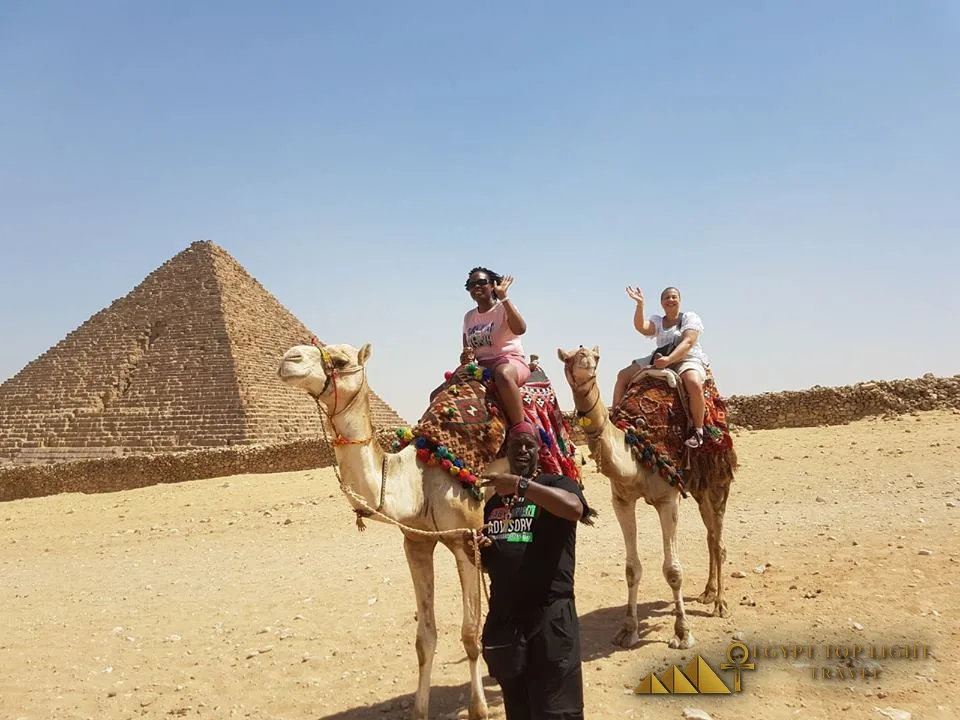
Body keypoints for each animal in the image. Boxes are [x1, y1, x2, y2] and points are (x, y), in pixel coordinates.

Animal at [278, 341, 508, 720]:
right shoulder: (415, 542)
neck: (417, 480)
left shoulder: (465, 539)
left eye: (340, 360)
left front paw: (478, 709)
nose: (288, 359)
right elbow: (424, 639)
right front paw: (419, 710)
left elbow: (470, 634)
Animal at [557, 345, 735, 650]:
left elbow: (673, 571)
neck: (636, 451)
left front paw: (682, 633)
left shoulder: (668, 500)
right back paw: (707, 593)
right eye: (568, 358)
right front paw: (627, 630)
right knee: (711, 536)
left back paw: (720, 604)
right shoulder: (621, 501)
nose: (586, 365)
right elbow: (631, 569)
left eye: (594, 356)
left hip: (717, 480)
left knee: (719, 540)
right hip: (698, 488)